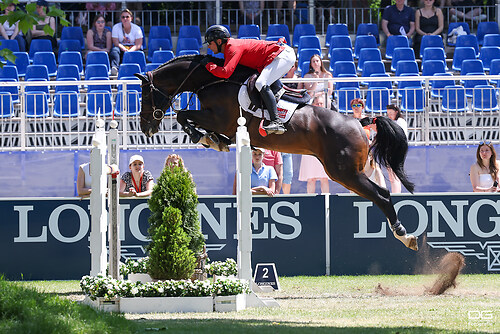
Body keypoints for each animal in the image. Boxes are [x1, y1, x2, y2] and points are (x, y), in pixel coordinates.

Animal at [136, 54, 418, 250]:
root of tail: (359, 123)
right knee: (381, 193)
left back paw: (405, 235)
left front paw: (204, 137)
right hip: (346, 173)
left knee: (381, 196)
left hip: (343, 172)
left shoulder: (219, 118)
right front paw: (211, 139)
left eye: (145, 96)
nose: (145, 127)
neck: (212, 80)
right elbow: (187, 117)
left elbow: (184, 115)